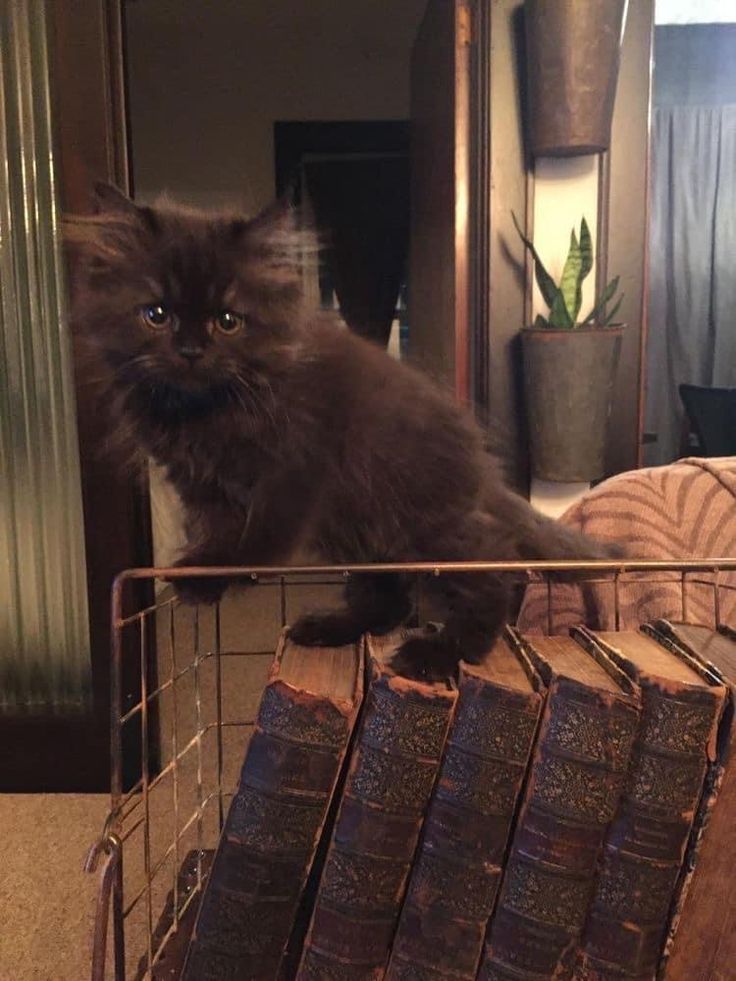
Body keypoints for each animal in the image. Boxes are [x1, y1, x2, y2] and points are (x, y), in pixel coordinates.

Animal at [64, 182, 616, 672]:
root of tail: (482, 473)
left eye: (228, 321)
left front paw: (236, 568)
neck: (206, 409)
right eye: (156, 315)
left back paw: (440, 653)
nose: (190, 351)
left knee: (492, 565)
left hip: (418, 520)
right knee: (390, 600)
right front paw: (205, 570)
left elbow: (264, 530)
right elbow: (213, 527)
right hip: (364, 535)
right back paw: (333, 629)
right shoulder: (199, 479)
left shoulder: (297, 463)